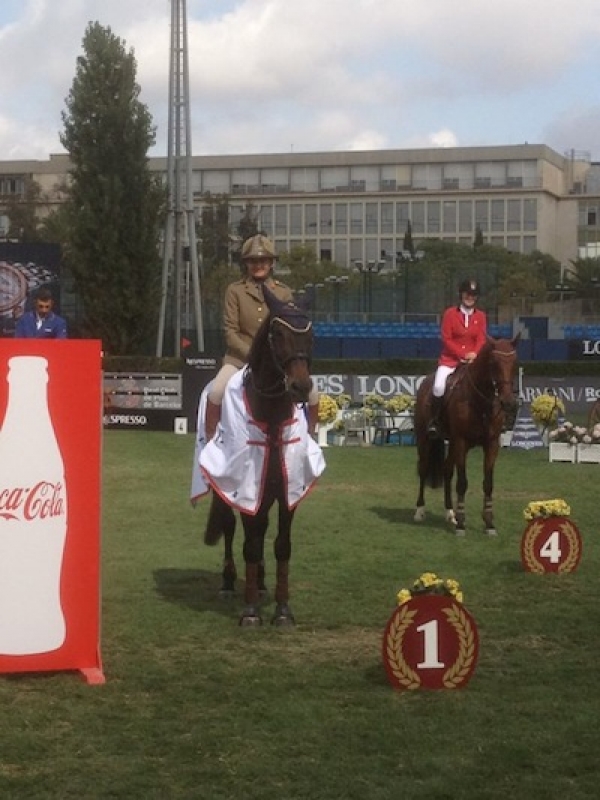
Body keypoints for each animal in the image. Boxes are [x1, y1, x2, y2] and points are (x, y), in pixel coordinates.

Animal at [200, 284, 324, 628]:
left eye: (311, 335)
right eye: (277, 334)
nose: (300, 386)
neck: (271, 418)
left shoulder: (287, 490)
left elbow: (282, 545)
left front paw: (282, 610)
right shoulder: (246, 486)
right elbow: (251, 546)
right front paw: (251, 611)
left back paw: (263, 582)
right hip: (227, 486)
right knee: (231, 527)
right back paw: (230, 583)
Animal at [414, 334, 516, 536]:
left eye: (515, 362)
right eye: (494, 363)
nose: (508, 402)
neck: (481, 401)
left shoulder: (491, 444)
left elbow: (488, 483)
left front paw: (489, 524)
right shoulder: (461, 442)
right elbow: (462, 482)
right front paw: (461, 524)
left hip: (452, 443)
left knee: (447, 471)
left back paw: (449, 513)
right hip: (425, 439)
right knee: (423, 469)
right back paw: (420, 511)